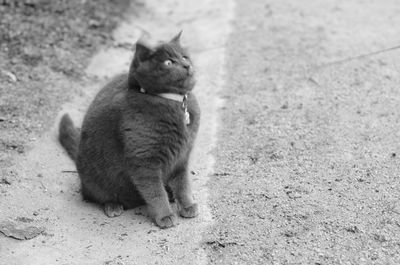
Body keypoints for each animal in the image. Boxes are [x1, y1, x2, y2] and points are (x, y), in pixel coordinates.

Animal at [58, 32, 200, 228]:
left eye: (184, 57)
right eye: (168, 63)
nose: (187, 65)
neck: (174, 102)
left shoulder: (182, 157)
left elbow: (183, 184)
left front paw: (187, 205)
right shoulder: (144, 161)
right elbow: (156, 193)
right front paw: (165, 215)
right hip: (95, 180)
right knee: (93, 196)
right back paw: (113, 205)